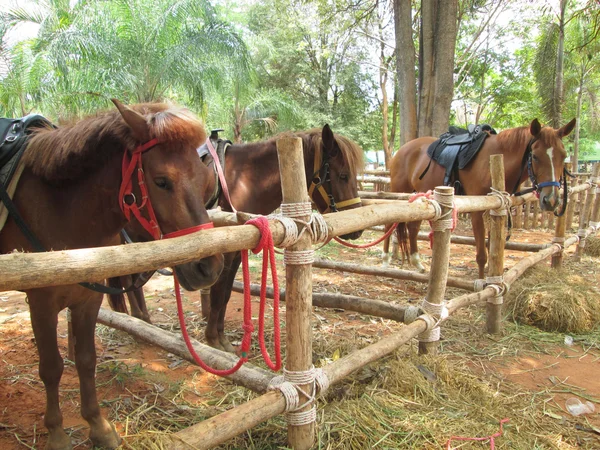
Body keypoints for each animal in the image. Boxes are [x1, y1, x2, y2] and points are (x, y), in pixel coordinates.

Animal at [0, 100, 224, 448]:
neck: (60, 205)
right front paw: (57, 433)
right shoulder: (41, 304)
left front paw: (98, 425)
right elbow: (51, 368)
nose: (208, 267)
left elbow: (86, 360)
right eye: (161, 181)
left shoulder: (88, 298)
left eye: (205, 181)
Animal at [109, 125, 364, 354]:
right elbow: (218, 292)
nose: (357, 231)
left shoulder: (235, 252)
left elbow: (225, 293)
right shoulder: (222, 251)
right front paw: (214, 339)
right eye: (343, 175)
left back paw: (137, 318)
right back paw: (137, 318)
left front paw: (221, 337)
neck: (244, 181)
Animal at [384, 118, 576, 278]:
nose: (551, 200)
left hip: (420, 196)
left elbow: (493, 248)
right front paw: (482, 283)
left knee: (412, 227)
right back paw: (386, 259)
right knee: (389, 223)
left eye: (563, 156)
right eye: (535, 156)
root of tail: (402, 150)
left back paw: (417, 263)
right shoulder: (477, 211)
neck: (495, 159)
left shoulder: (497, 208)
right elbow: (482, 254)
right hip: (399, 192)